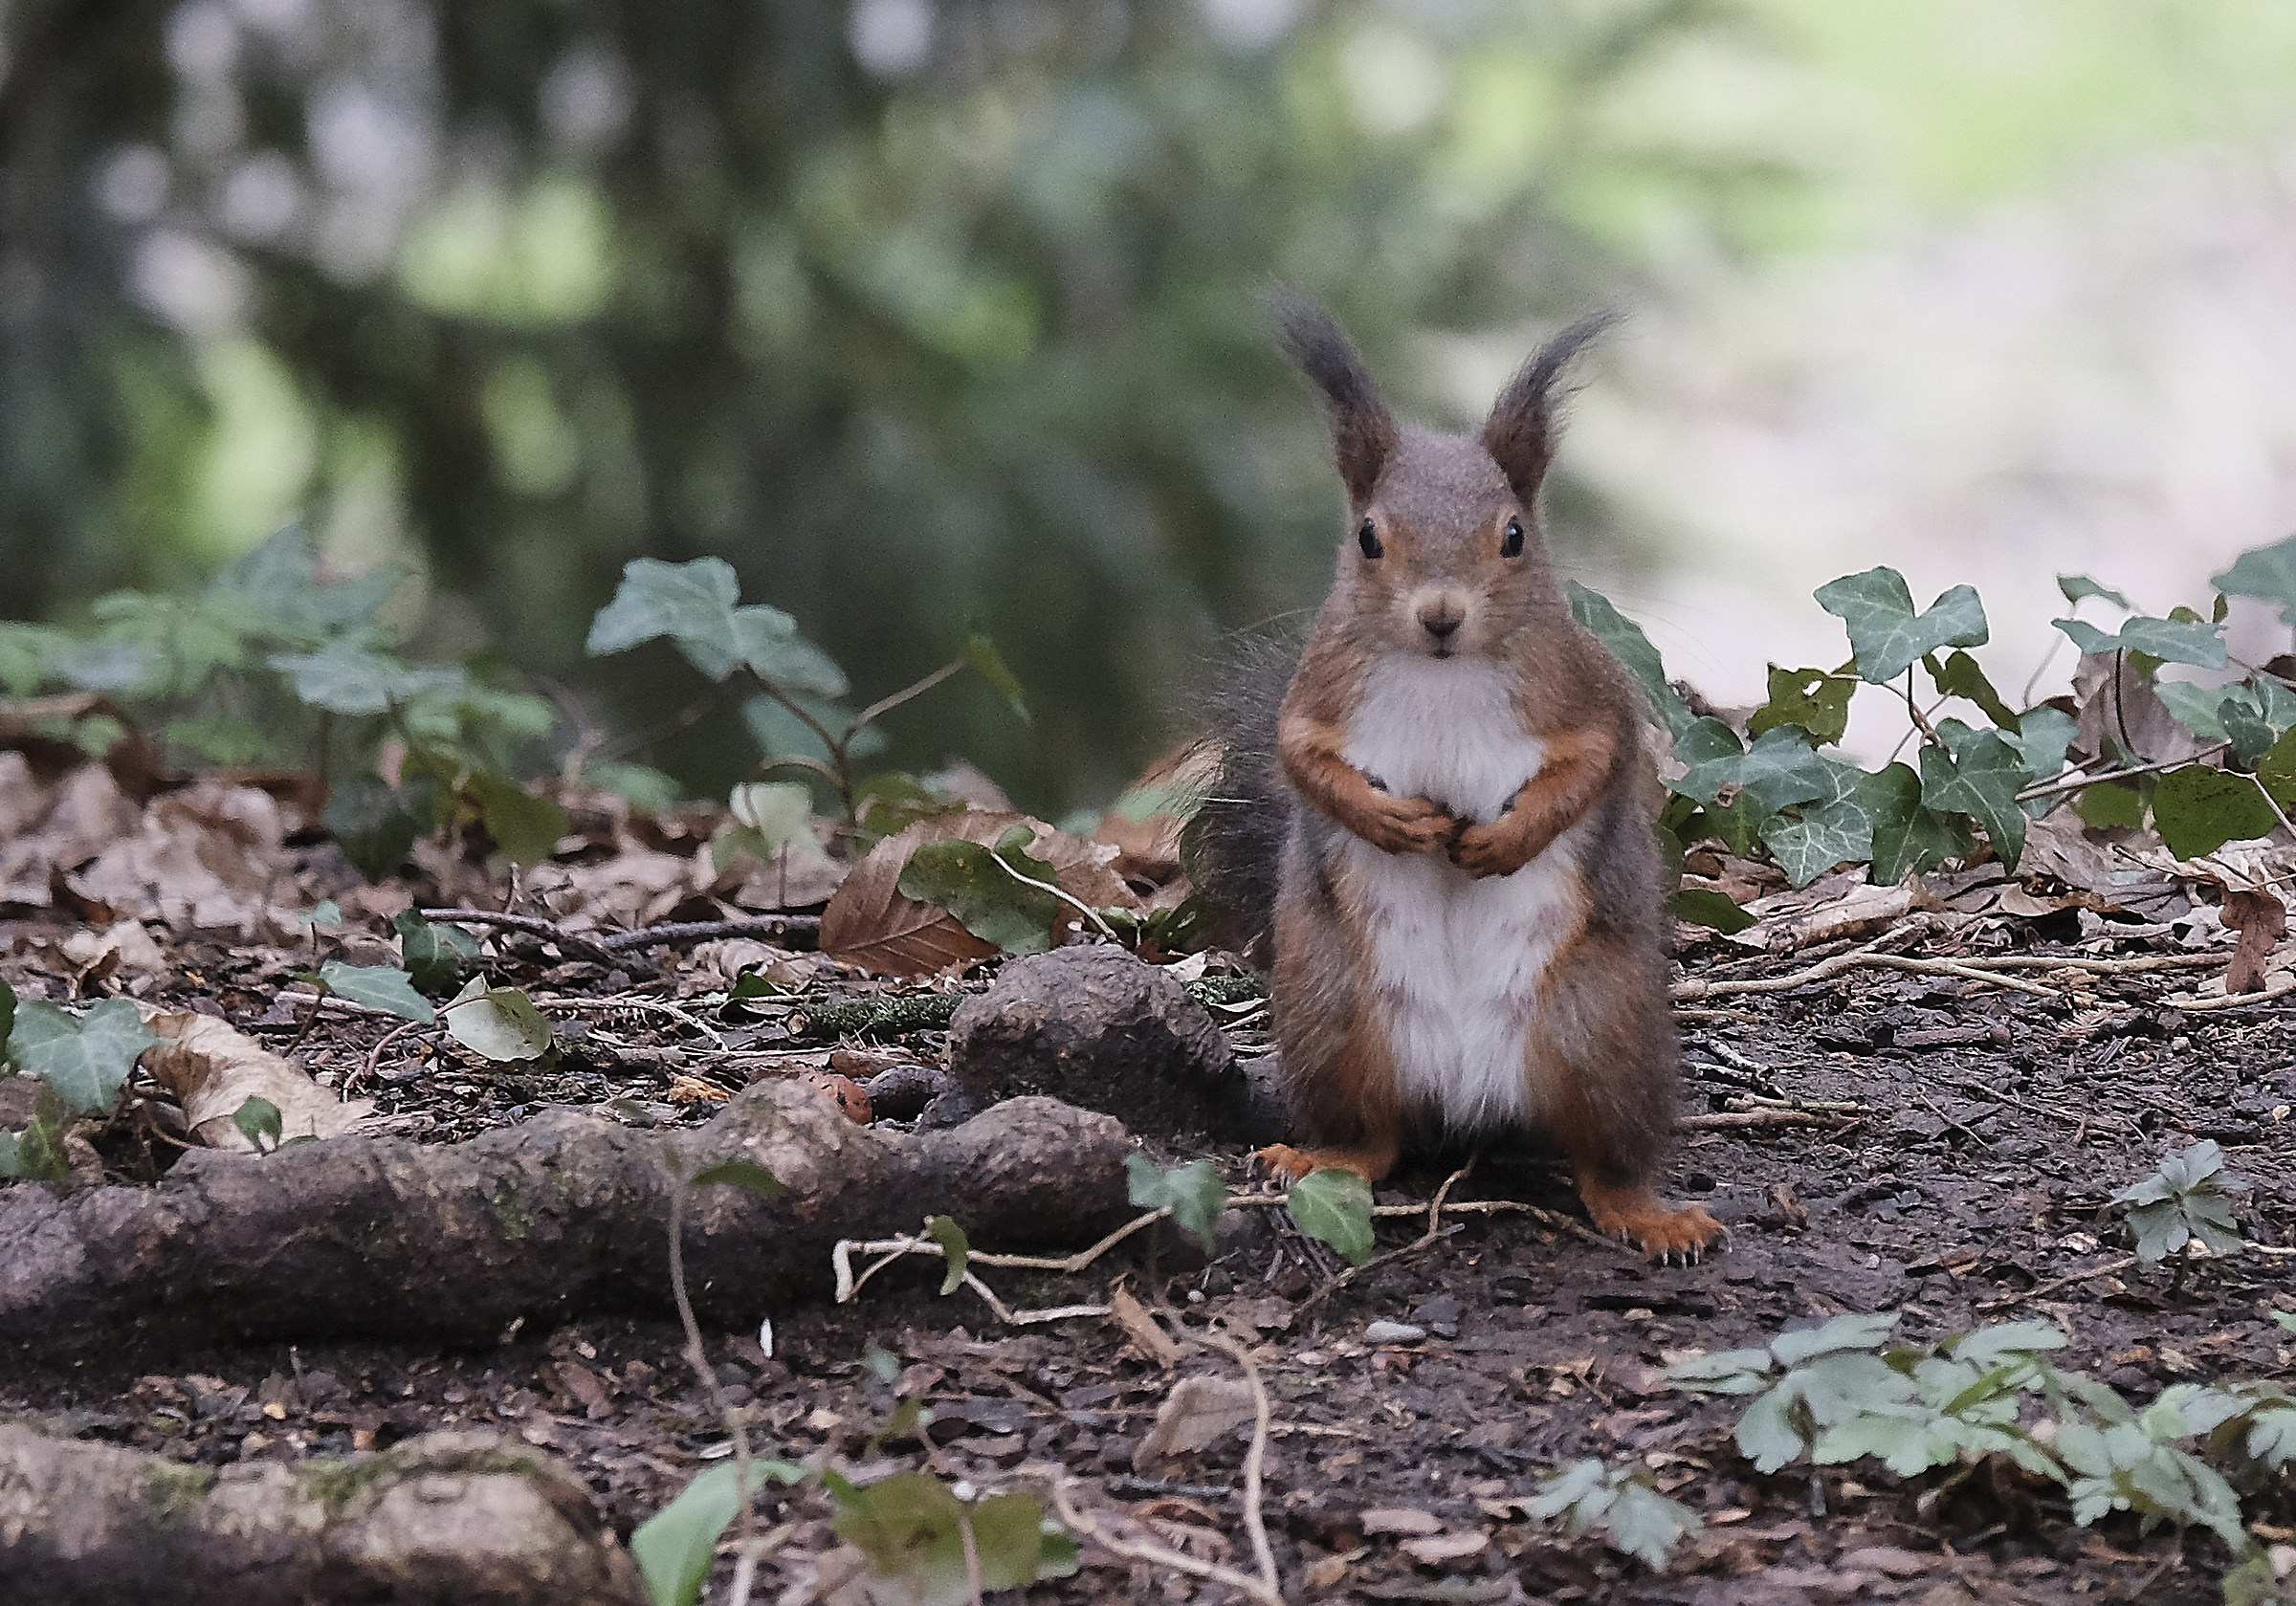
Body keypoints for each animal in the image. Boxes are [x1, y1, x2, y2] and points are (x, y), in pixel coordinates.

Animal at [1194, 296, 1717, 1257]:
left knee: (1606, 1159)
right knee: (1373, 1138)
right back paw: (1313, 1157)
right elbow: (1302, 760)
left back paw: (1650, 1215)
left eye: (1514, 537)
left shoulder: (1585, 690)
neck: (1442, 670)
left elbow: (1600, 760)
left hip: (1601, 1028)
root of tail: (1472, 1097)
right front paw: (1395, 823)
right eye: (1368, 538)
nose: (1440, 614)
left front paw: (1506, 839)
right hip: (1331, 1014)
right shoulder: (1320, 690)